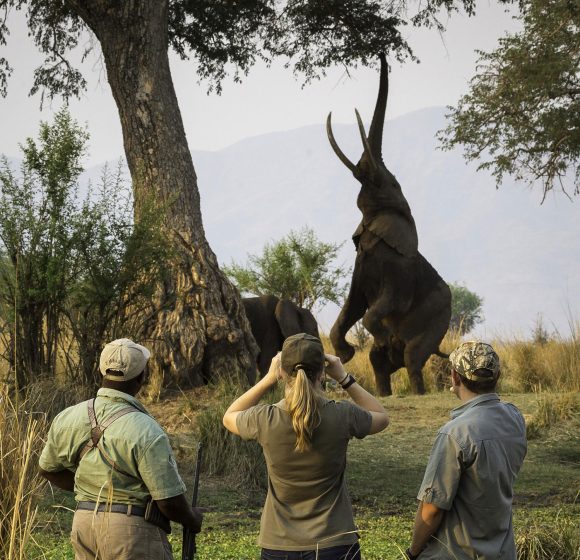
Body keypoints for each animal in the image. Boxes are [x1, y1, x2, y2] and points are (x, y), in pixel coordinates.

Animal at [328, 51, 450, 394]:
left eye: (393, 184)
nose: (381, 53)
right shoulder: (360, 265)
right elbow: (352, 305)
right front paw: (345, 353)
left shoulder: (399, 272)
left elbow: (378, 307)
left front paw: (375, 335)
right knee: (378, 361)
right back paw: (383, 387)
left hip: (438, 320)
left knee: (412, 356)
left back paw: (415, 388)